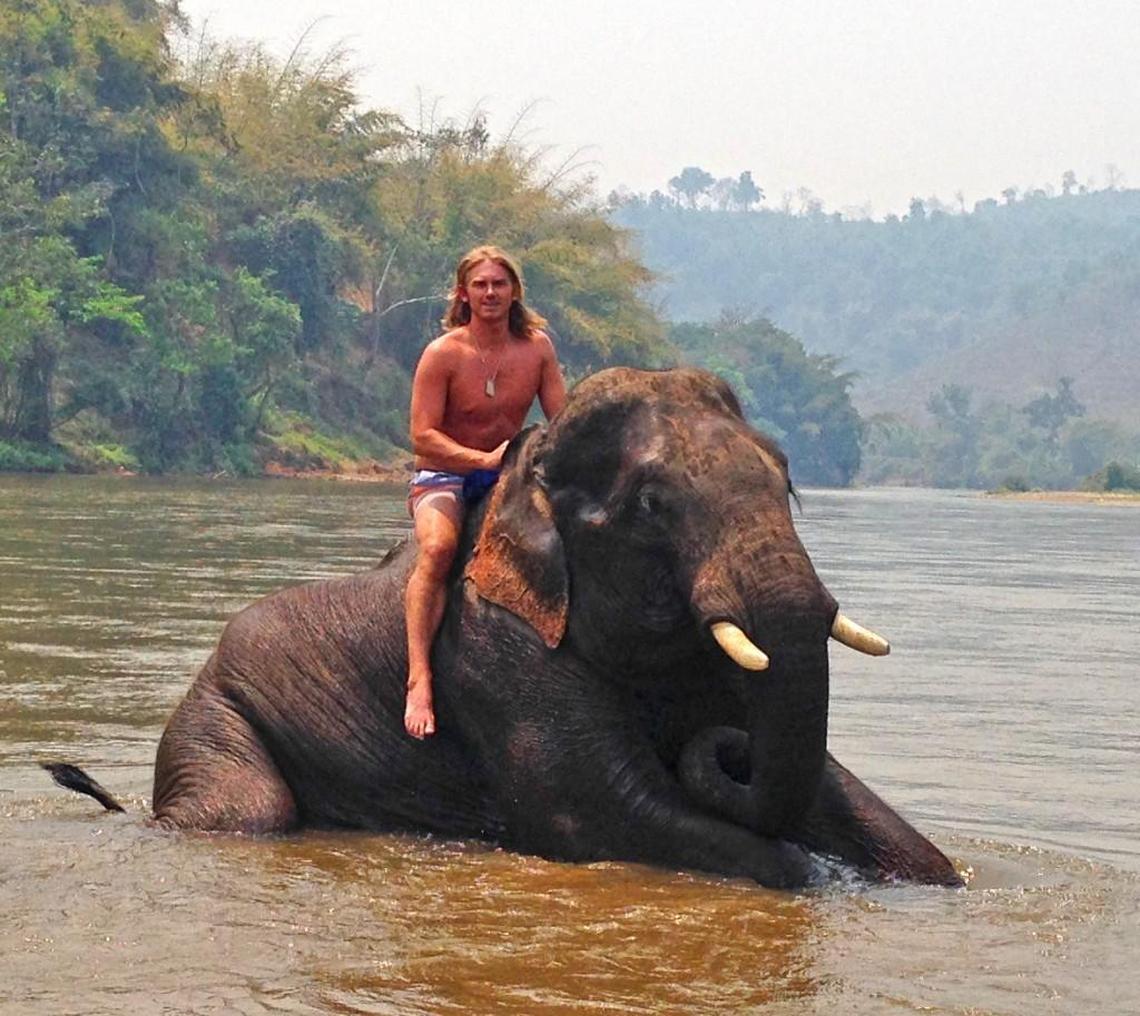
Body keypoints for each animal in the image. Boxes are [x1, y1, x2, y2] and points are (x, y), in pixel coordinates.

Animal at [48, 367, 962, 890]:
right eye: (652, 505)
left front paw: (938, 878)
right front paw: (802, 869)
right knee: (245, 813)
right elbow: (595, 812)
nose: (724, 747)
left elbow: (838, 792)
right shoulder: (496, 654)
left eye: (787, 475)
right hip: (215, 715)